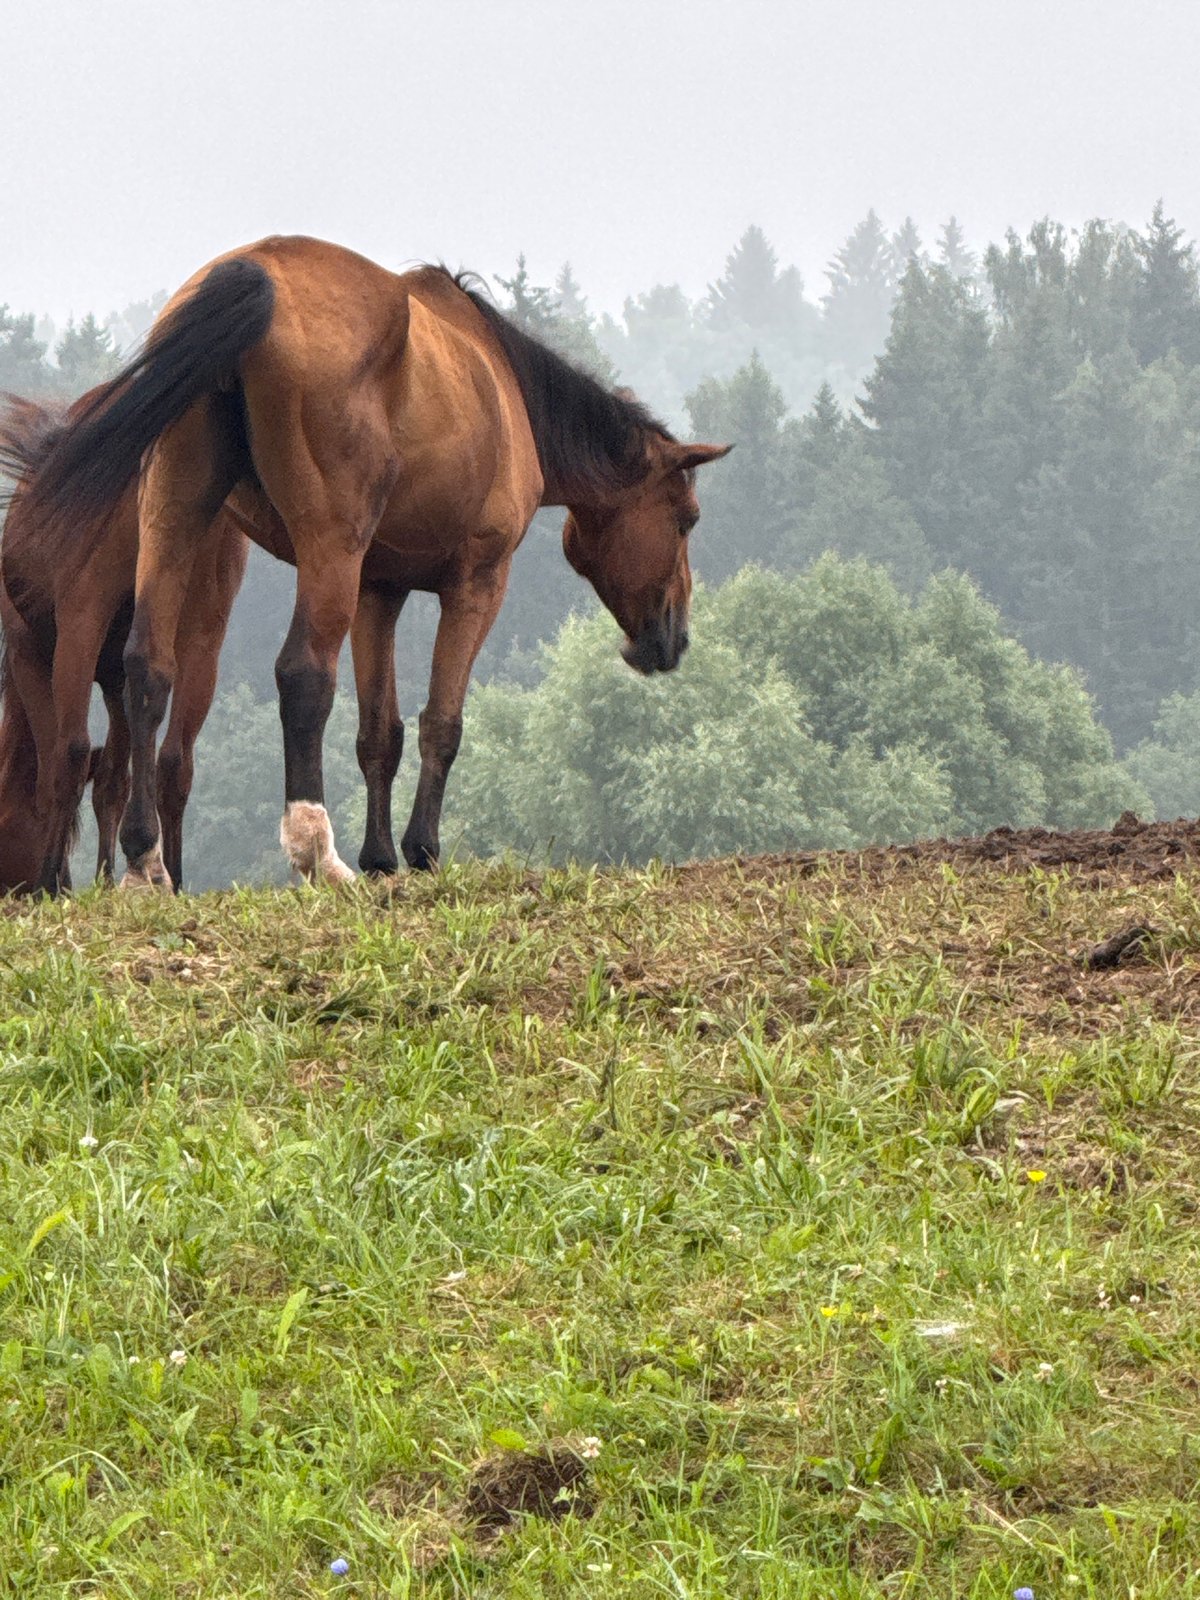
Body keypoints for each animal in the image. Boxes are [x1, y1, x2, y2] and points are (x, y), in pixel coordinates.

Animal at [0, 391, 248, 894]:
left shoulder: (28, 653)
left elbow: (59, 770)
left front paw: (61, 880)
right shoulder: (118, 677)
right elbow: (113, 781)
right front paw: (106, 874)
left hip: (83, 620)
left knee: (72, 752)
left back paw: (56, 882)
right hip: (200, 635)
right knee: (174, 760)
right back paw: (169, 872)